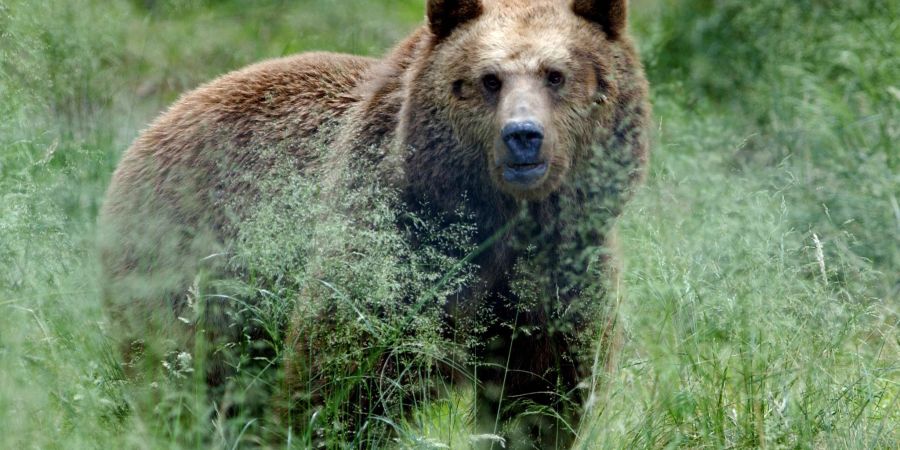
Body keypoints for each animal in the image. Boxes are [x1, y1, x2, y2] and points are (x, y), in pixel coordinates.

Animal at [100, 0, 648, 446]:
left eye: (556, 74)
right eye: (488, 79)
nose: (523, 136)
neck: (495, 223)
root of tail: (157, 123)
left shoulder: (557, 276)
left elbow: (540, 400)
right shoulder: (392, 251)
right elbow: (344, 386)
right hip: (192, 270)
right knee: (185, 378)